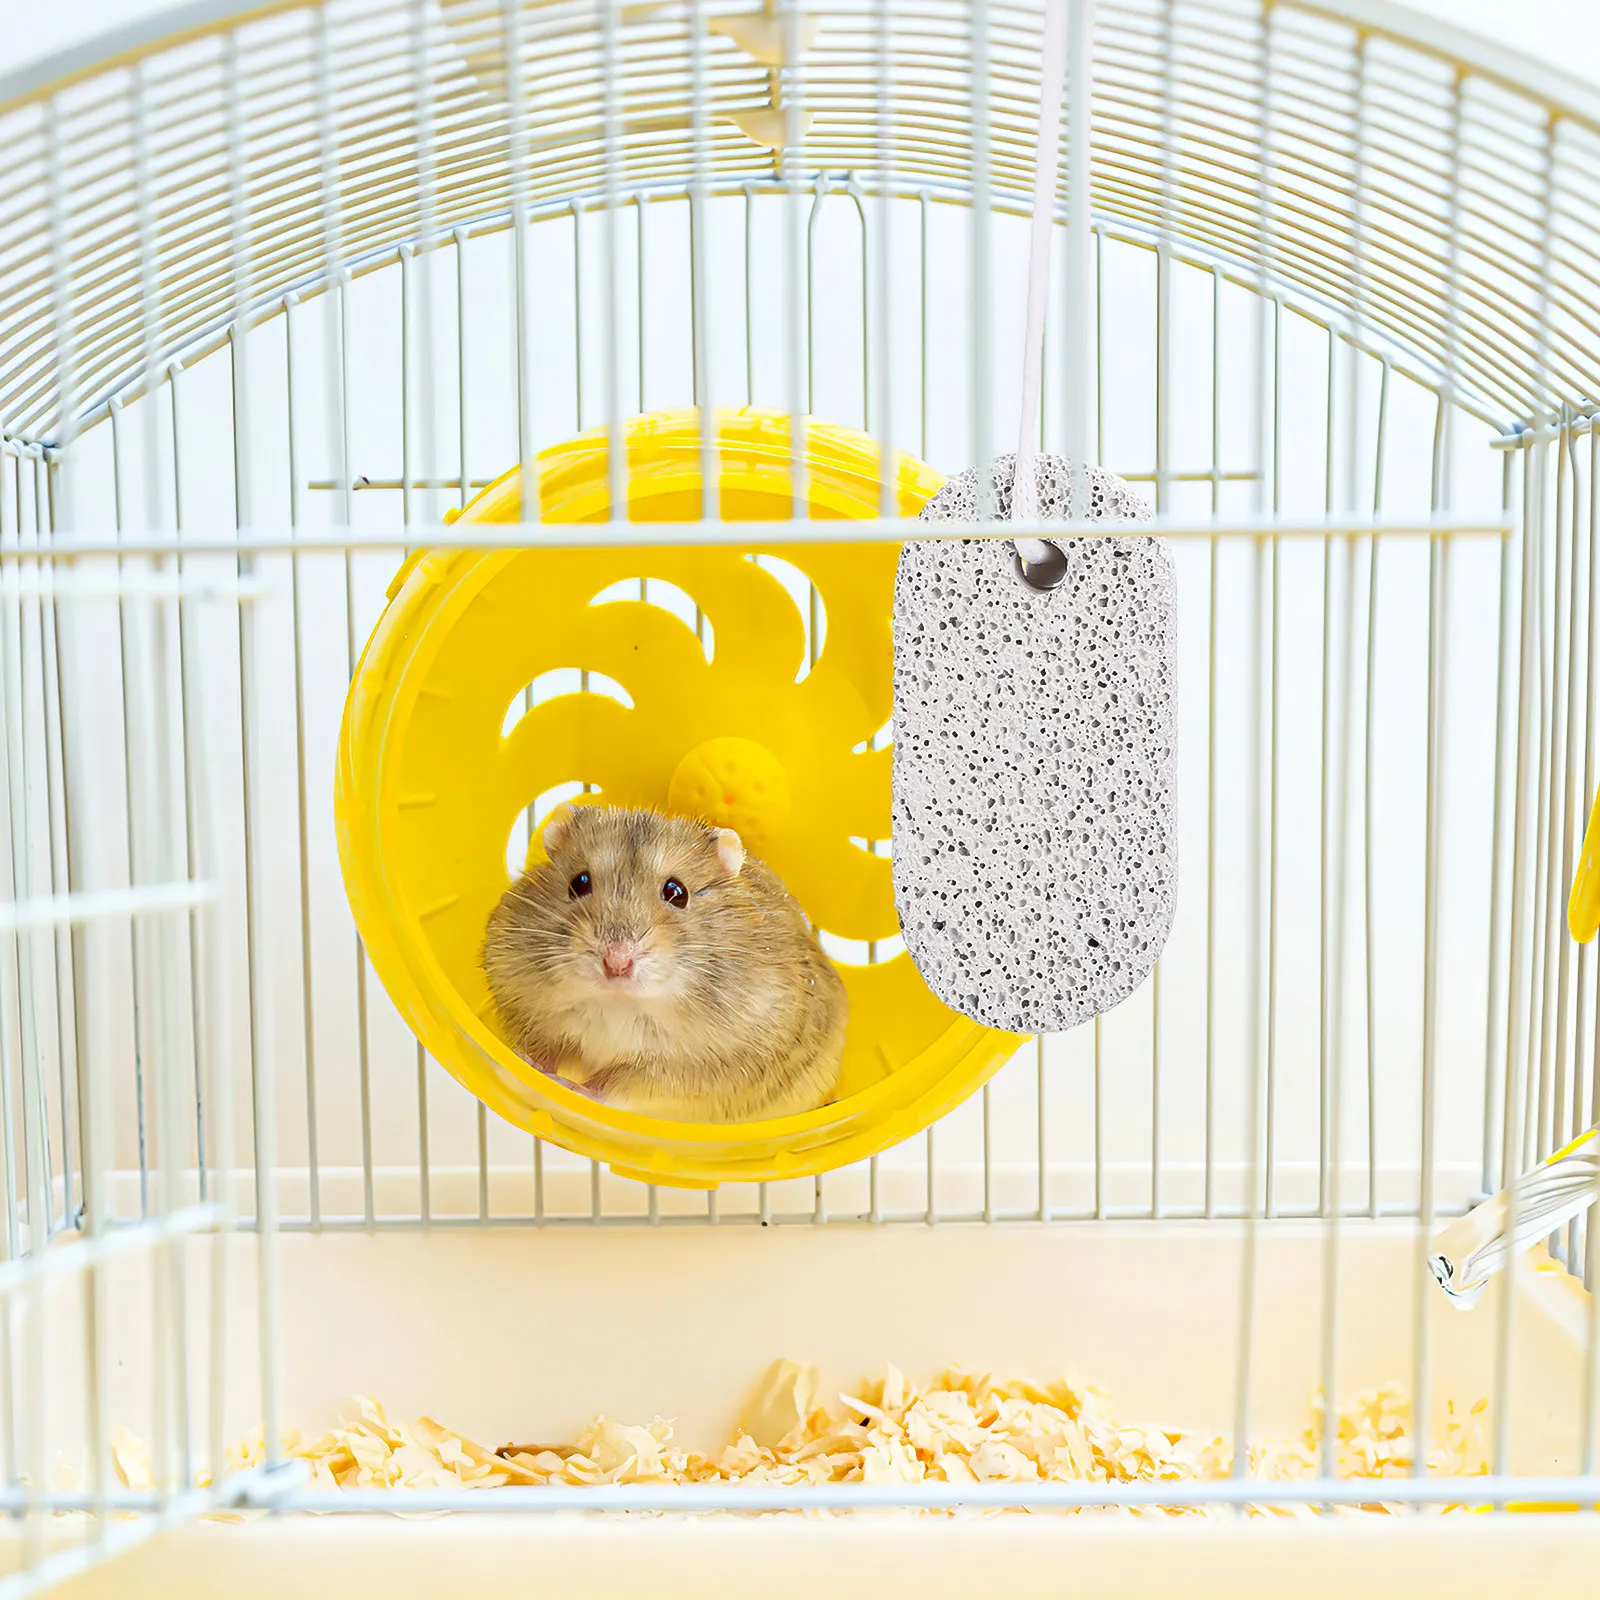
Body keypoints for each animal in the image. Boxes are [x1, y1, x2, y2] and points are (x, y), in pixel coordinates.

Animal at [482, 804, 848, 1121]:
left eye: (677, 892)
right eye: (578, 883)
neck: (617, 1004)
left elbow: (616, 1086)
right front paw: (526, 1064)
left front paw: (569, 1087)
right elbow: (546, 1048)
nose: (616, 963)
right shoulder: (527, 1008)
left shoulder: (693, 1067)